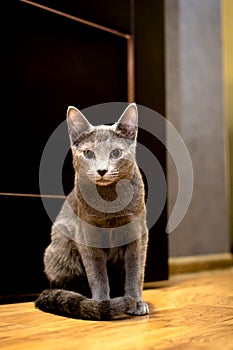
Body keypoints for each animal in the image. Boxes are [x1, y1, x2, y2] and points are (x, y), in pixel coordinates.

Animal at [35, 102, 150, 320]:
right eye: (89, 153)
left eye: (116, 153)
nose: (102, 170)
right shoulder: (87, 236)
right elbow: (97, 274)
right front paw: (102, 304)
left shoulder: (137, 233)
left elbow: (135, 271)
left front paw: (136, 303)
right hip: (60, 249)